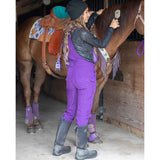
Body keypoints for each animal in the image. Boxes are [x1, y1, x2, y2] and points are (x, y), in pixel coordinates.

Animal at [15, 0, 144, 140]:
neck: (99, 34)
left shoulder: (100, 81)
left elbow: (94, 106)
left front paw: (93, 134)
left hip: (40, 66)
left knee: (36, 90)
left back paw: (37, 122)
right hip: (25, 64)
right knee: (27, 91)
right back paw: (30, 125)